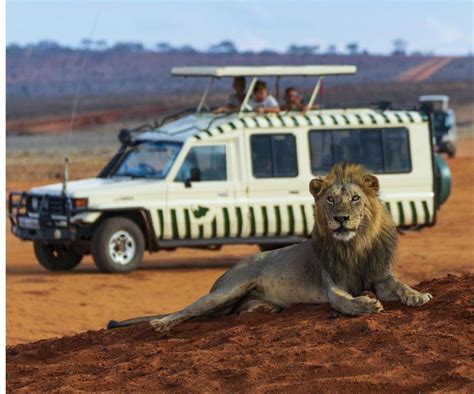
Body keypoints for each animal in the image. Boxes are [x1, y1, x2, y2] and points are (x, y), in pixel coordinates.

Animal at [108, 162, 434, 330]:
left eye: (355, 198)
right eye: (330, 199)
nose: (340, 218)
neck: (355, 246)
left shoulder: (381, 276)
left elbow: (401, 285)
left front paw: (417, 296)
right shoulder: (332, 286)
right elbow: (344, 302)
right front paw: (366, 304)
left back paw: (261, 309)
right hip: (229, 289)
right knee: (191, 309)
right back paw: (161, 323)